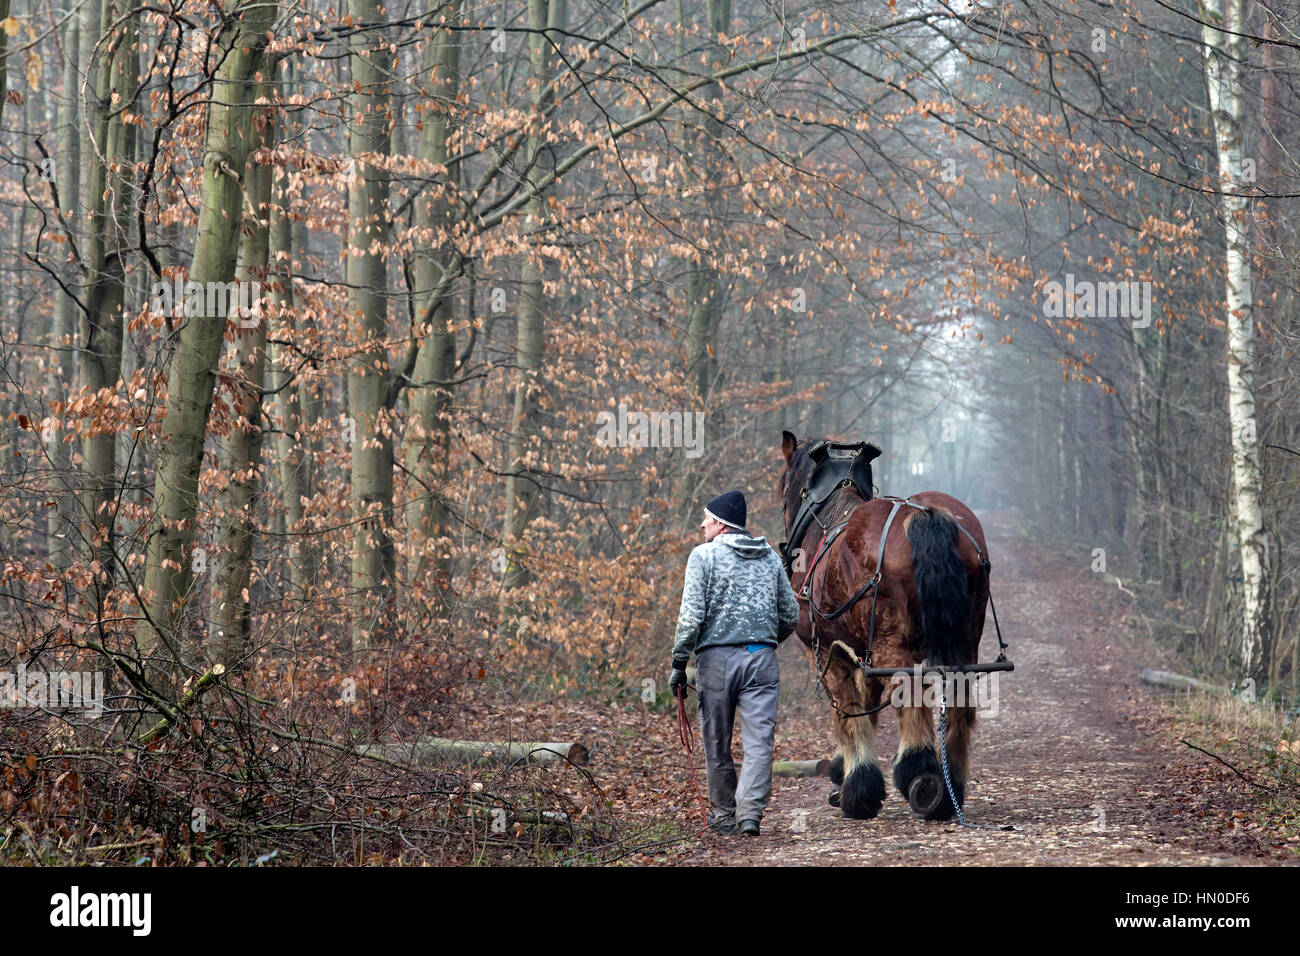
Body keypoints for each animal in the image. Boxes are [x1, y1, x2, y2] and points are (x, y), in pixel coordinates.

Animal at [780, 429, 982, 816]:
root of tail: (925, 515)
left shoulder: (825, 651)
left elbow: (847, 711)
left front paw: (857, 788)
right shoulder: (862, 650)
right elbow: (867, 699)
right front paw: (844, 774)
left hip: (892, 643)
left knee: (909, 696)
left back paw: (920, 775)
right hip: (966, 640)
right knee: (960, 700)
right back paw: (951, 788)